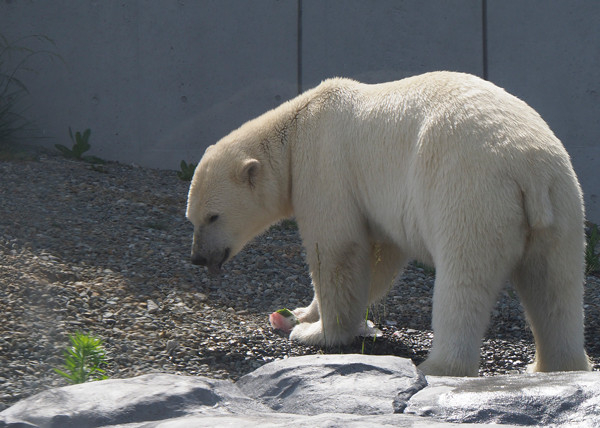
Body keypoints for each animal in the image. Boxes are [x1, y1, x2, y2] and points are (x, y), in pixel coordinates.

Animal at [188, 70, 592, 374]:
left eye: (213, 216)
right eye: (191, 217)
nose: (197, 257)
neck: (298, 124)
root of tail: (528, 169)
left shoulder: (325, 166)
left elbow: (338, 250)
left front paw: (315, 333)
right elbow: (380, 257)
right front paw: (302, 313)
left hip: (469, 193)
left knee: (463, 282)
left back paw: (439, 367)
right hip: (562, 205)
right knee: (556, 286)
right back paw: (556, 366)